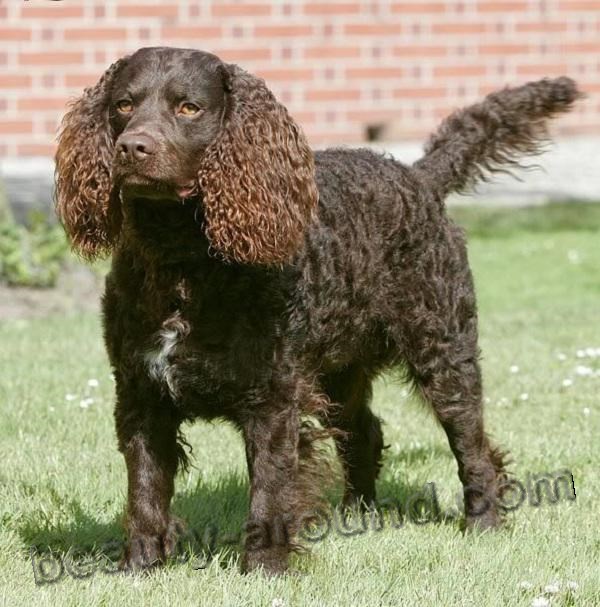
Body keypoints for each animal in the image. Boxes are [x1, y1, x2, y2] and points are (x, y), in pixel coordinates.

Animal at [54, 46, 580, 576]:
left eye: (189, 108)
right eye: (123, 105)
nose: (132, 148)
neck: (182, 260)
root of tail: (418, 177)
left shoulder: (272, 397)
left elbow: (269, 490)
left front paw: (264, 569)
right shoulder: (141, 393)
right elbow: (145, 490)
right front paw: (139, 568)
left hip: (444, 351)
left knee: (471, 444)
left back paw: (482, 522)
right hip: (339, 367)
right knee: (364, 433)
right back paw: (358, 517)